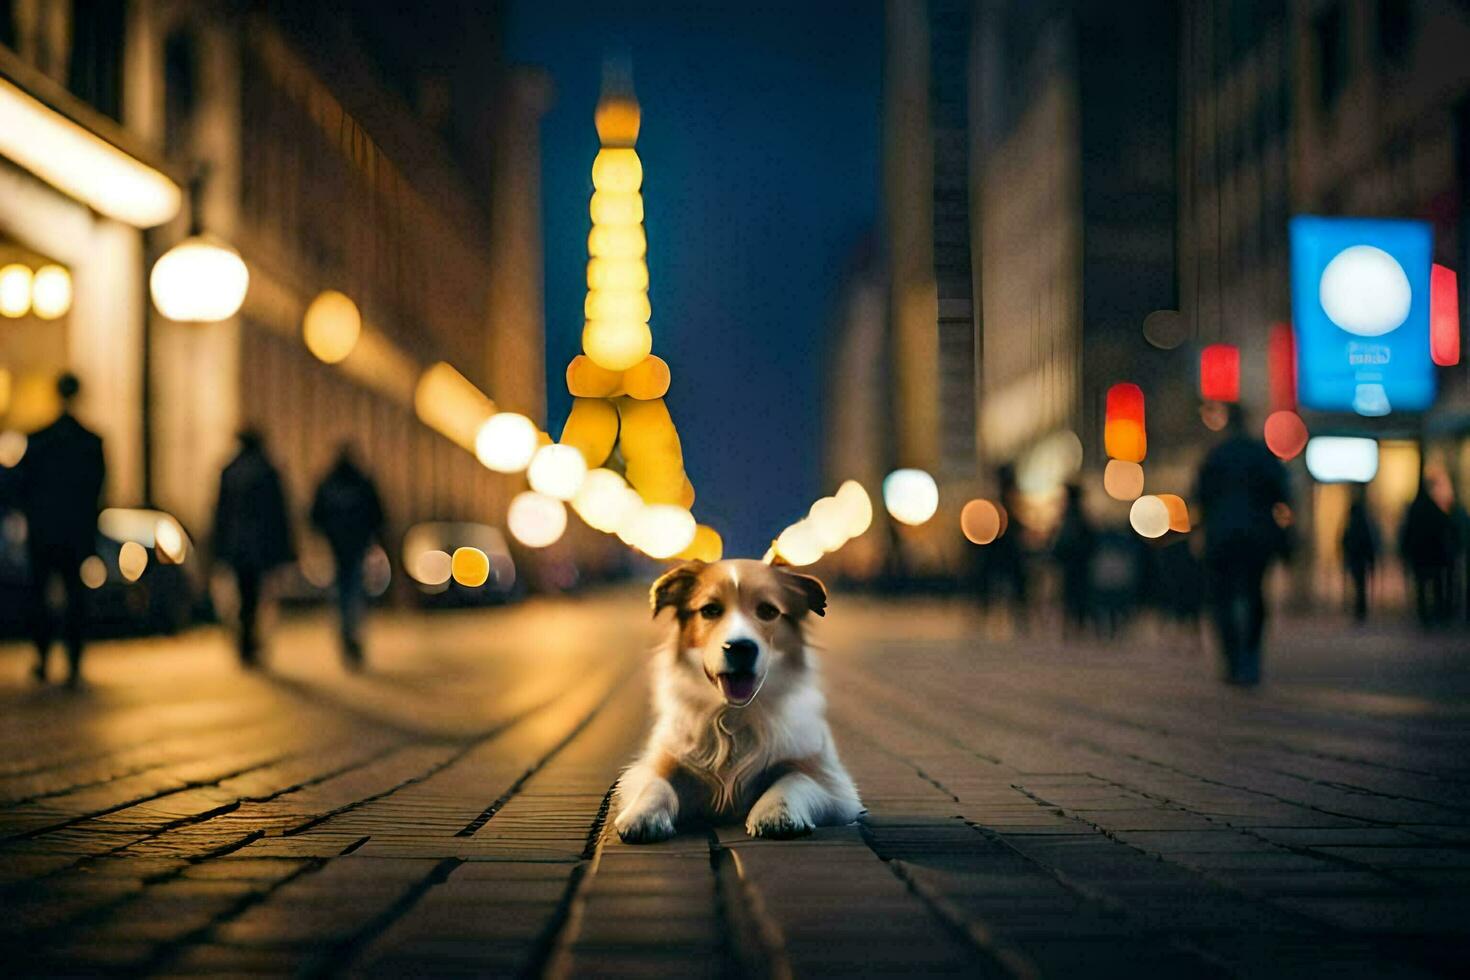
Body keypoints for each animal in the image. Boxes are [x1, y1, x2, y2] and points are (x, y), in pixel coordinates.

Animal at [608, 558, 858, 846]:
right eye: (710, 610)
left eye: (768, 610)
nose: (740, 648)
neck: (731, 715)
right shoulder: (659, 760)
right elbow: (655, 783)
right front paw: (643, 815)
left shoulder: (833, 784)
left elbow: (794, 779)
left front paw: (775, 813)